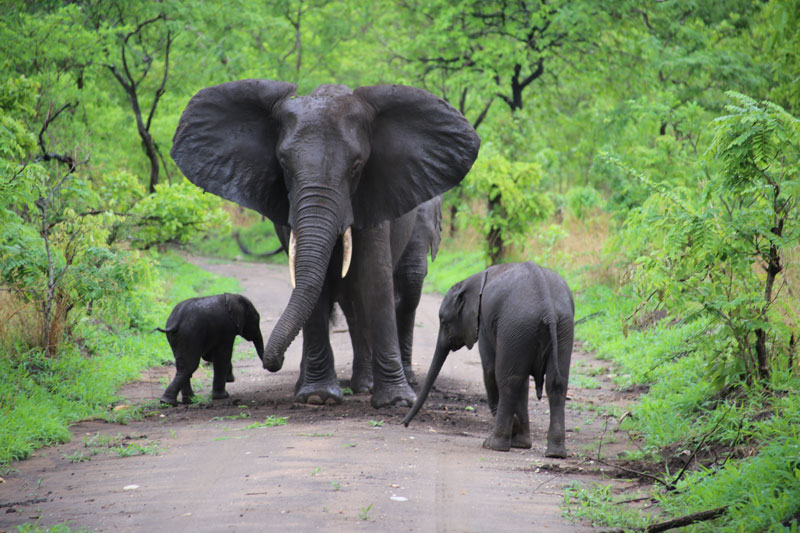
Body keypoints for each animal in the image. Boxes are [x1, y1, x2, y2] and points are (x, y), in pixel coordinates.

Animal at [170, 80, 480, 408]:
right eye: (283, 165)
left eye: (357, 166)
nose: (272, 363)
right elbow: (311, 284)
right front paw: (318, 396)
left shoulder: (372, 195)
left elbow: (375, 280)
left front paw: (396, 402)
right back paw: (348, 385)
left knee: (403, 291)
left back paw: (386, 384)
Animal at [403, 262, 574, 457]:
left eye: (444, 322)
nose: (405, 424)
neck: (473, 280)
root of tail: (548, 310)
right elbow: (522, 381)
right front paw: (521, 442)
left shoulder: (483, 322)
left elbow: (490, 370)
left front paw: (513, 432)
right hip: (562, 328)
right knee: (555, 384)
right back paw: (555, 453)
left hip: (517, 325)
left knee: (507, 381)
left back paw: (494, 444)